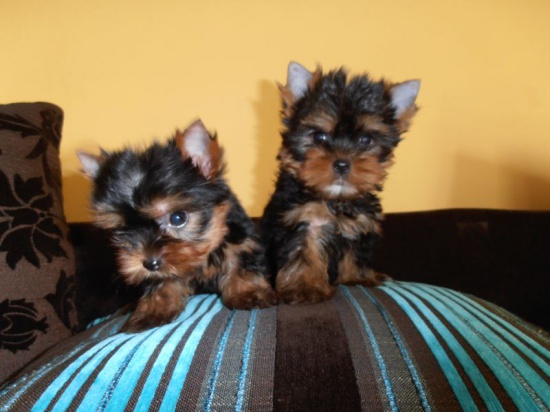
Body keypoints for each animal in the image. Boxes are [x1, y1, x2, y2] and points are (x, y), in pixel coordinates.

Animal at [78, 119, 276, 331]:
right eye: (122, 229)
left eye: (177, 218)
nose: (150, 263)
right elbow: (161, 282)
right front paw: (153, 310)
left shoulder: (241, 239)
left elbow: (241, 262)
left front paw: (249, 292)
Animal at [261, 62, 420, 304]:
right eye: (319, 137)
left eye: (365, 139)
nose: (342, 163)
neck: (336, 198)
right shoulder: (304, 219)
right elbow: (304, 253)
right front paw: (304, 286)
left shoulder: (361, 223)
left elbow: (356, 252)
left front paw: (357, 277)